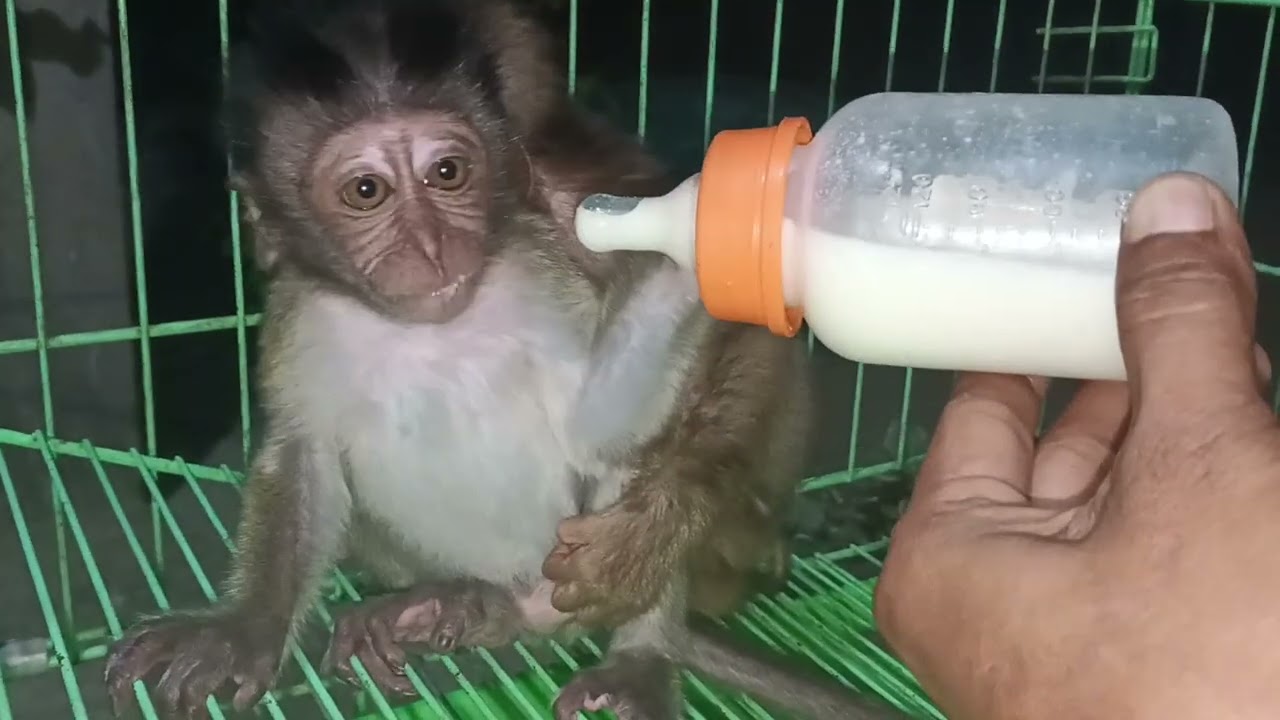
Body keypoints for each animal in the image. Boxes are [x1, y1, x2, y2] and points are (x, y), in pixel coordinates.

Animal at [102, 2, 910, 719]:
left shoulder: (540, 267)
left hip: (569, 567)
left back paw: (638, 653)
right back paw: (461, 603)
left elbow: (596, 430)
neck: (427, 325)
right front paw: (241, 630)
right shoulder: (299, 318)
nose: (433, 248)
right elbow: (303, 454)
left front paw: (714, 225)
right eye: (366, 190)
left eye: (447, 173)